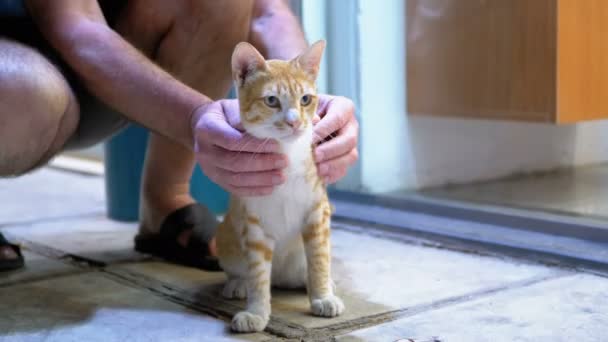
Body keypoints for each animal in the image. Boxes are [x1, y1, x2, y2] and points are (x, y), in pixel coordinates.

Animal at [216, 39, 344, 332]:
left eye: (306, 99)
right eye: (271, 100)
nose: (294, 122)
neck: (288, 155)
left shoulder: (317, 212)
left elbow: (319, 259)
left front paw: (322, 296)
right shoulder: (254, 223)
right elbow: (258, 276)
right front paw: (257, 313)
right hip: (225, 238)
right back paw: (237, 283)